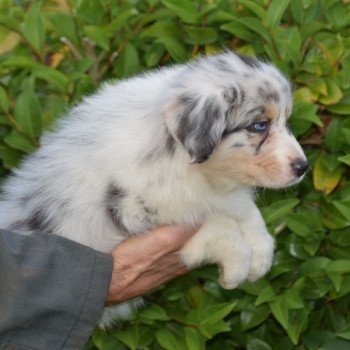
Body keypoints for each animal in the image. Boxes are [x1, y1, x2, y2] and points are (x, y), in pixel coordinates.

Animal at [0, 51, 306, 326]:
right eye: (260, 125)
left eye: (286, 122)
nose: (303, 167)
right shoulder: (135, 211)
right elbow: (216, 223)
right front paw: (238, 265)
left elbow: (248, 213)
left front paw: (262, 254)